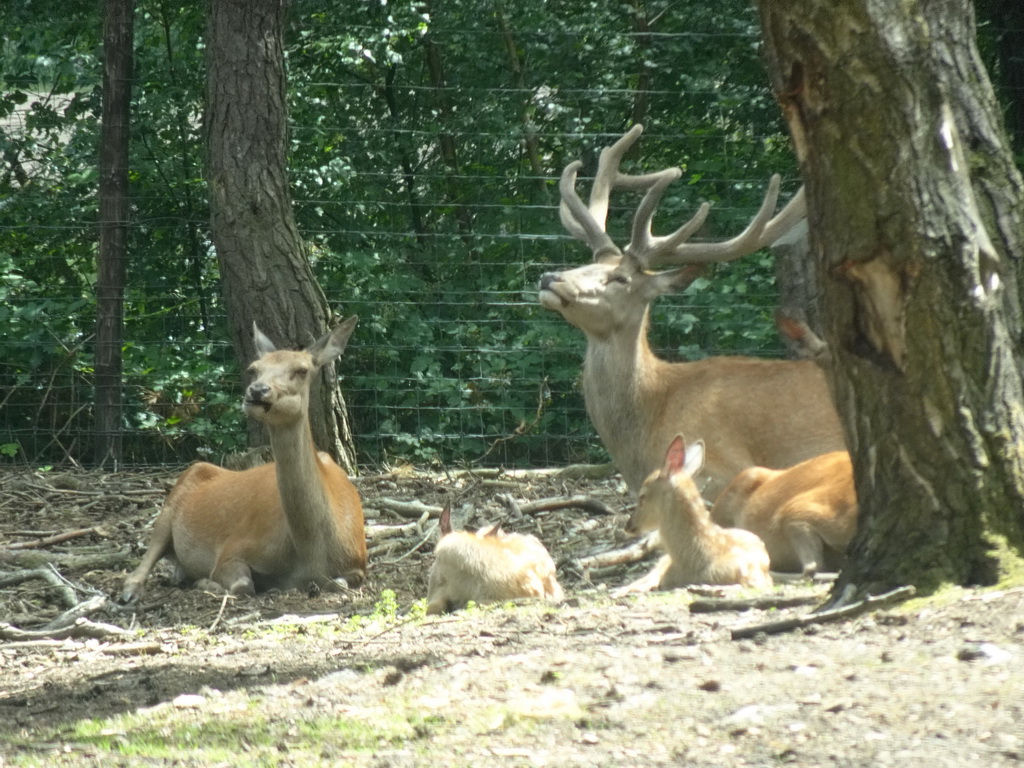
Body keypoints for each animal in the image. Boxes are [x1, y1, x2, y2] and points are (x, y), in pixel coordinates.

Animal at [120, 319, 368, 602]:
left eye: (302, 370)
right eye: (253, 369)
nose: (257, 391)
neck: (311, 553)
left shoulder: (357, 564)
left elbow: (340, 583)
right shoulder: (233, 549)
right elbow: (242, 585)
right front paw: (207, 582)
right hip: (169, 508)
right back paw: (132, 590)